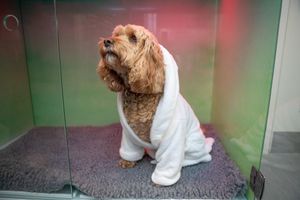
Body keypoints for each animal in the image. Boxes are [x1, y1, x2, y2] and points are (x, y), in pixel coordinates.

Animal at [97, 24, 214, 186]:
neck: (139, 94)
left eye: (133, 38)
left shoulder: (172, 136)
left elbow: (169, 160)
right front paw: (127, 161)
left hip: (192, 146)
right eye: (117, 34)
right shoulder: (129, 133)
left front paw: (161, 180)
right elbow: (130, 150)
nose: (107, 41)